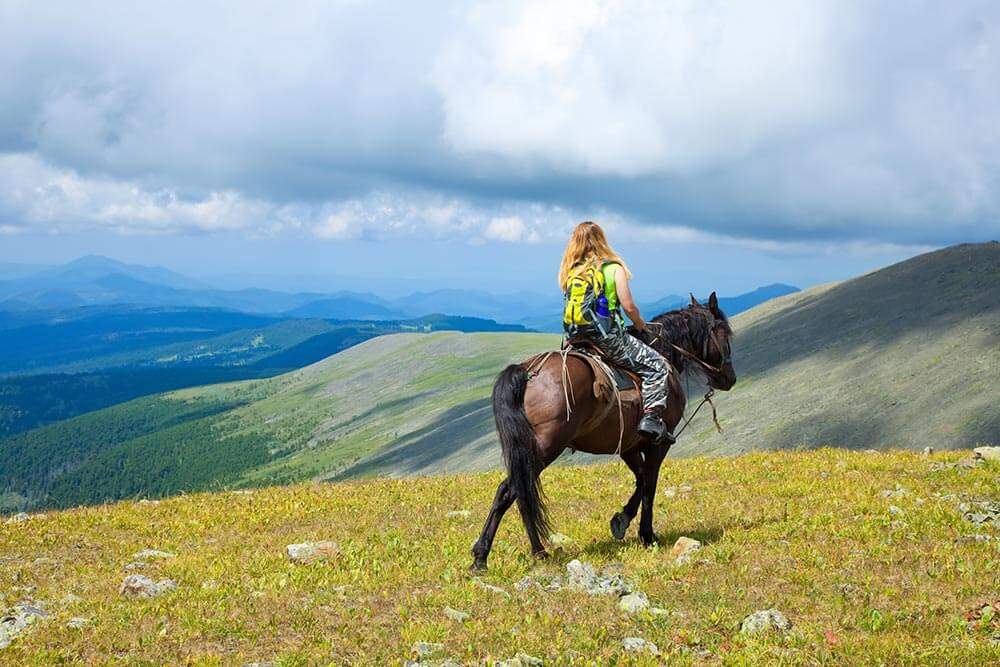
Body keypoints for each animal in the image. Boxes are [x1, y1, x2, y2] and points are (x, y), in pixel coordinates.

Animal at [468, 294, 736, 572]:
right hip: (544, 448)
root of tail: (528, 371)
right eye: (725, 334)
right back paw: (507, 553)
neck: (665, 355)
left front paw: (621, 520)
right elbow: (650, 483)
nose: (729, 378)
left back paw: (509, 553)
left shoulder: (629, 445)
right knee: (512, 490)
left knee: (517, 491)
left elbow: (641, 479)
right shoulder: (659, 443)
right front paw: (647, 534)